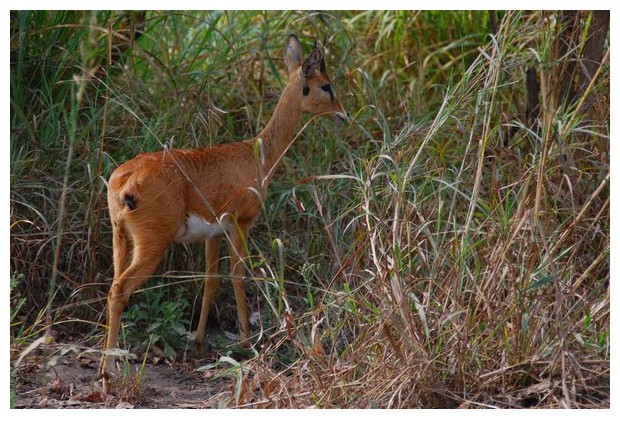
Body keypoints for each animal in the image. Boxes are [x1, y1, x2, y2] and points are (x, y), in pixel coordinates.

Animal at [99, 34, 346, 392]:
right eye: (325, 85)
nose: (343, 115)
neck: (257, 154)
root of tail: (125, 182)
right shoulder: (241, 224)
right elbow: (238, 275)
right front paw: (246, 341)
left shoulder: (212, 235)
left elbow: (211, 280)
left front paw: (200, 342)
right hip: (152, 244)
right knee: (120, 290)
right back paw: (107, 375)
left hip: (121, 240)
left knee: (112, 288)